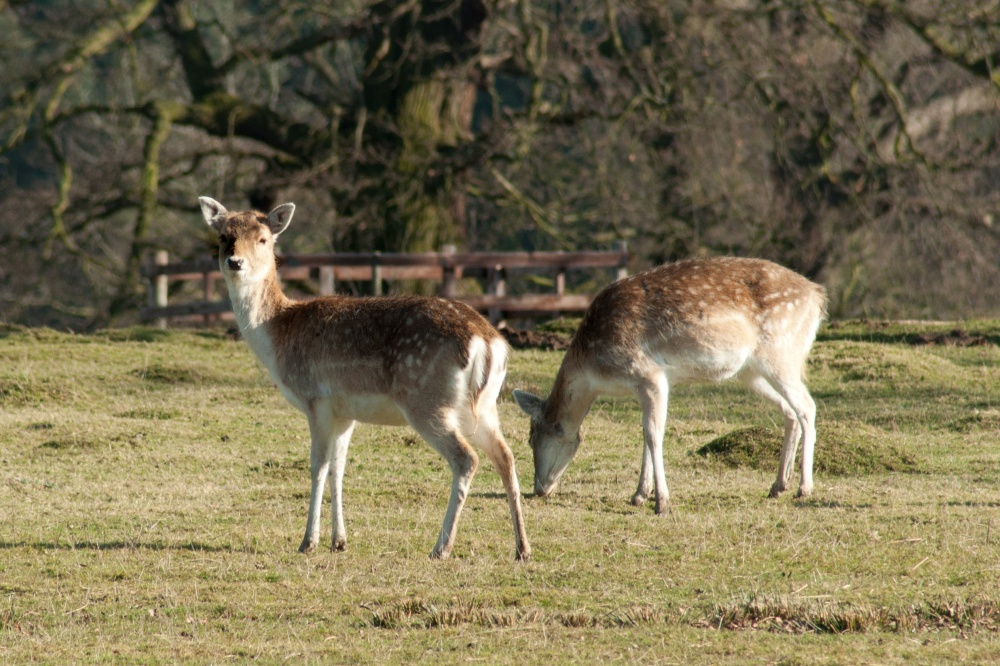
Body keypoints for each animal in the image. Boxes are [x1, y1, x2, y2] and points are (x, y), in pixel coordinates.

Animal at [199, 197, 530, 561]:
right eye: (224, 236)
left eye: (263, 239)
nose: (234, 261)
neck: (277, 334)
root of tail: (488, 342)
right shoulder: (345, 411)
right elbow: (338, 468)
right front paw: (339, 541)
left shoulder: (317, 399)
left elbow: (317, 466)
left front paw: (308, 541)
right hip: (484, 406)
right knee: (506, 456)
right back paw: (522, 548)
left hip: (427, 401)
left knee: (466, 458)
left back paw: (441, 547)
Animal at [512, 257, 828, 514]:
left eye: (531, 437)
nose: (539, 488)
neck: (595, 368)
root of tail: (817, 296)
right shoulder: (646, 384)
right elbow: (644, 433)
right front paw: (639, 495)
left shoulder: (648, 374)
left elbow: (653, 434)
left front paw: (661, 503)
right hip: (752, 372)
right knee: (789, 411)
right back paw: (778, 485)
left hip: (781, 354)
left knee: (808, 407)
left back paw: (804, 488)